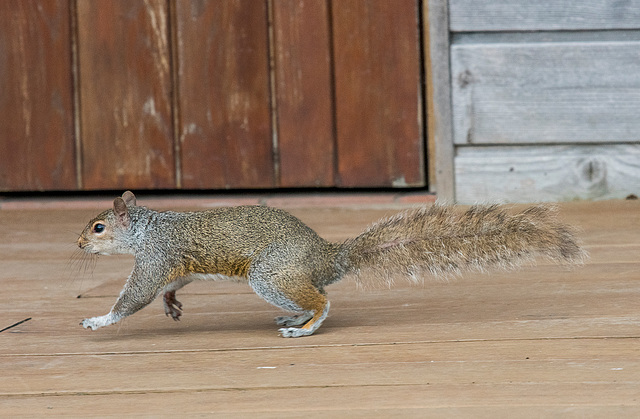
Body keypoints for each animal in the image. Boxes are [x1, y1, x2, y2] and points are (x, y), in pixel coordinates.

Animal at [76, 191, 584, 338]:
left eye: (98, 227)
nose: (78, 242)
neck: (147, 229)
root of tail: (326, 258)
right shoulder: (172, 264)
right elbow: (167, 286)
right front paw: (171, 303)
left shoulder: (156, 257)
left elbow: (133, 297)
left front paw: (99, 319)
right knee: (312, 295)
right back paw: (294, 317)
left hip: (270, 273)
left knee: (322, 300)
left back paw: (305, 326)